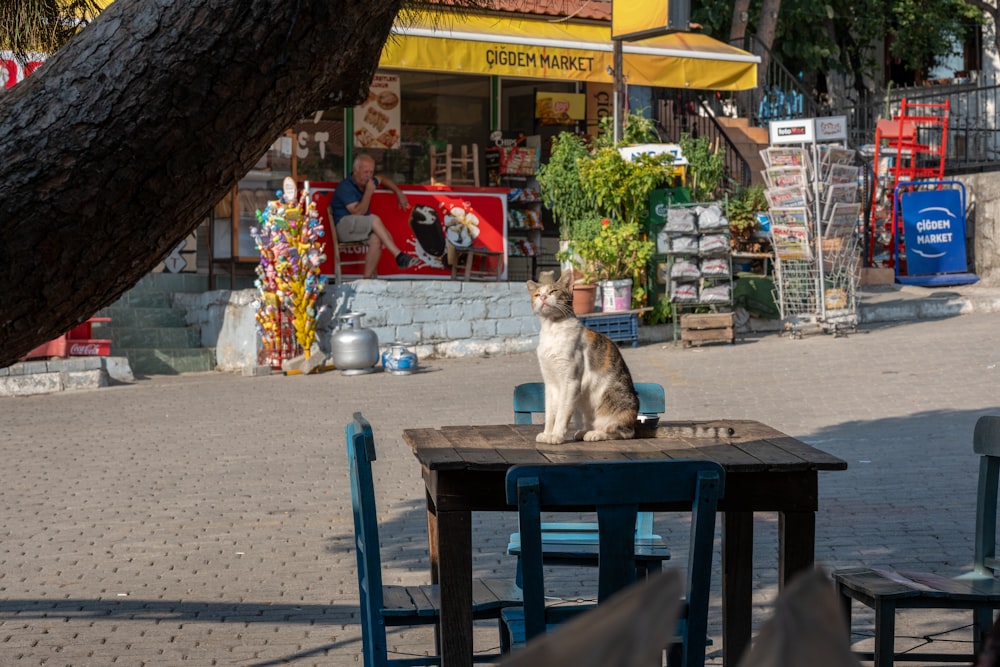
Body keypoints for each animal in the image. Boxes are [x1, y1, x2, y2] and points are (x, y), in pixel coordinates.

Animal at [528, 272, 636, 444]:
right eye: (537, 294)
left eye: (553, 291)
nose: (543, 297)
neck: (552, 330)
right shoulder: (550, 383)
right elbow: (550, 413)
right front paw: (547, 434)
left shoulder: (570, 382)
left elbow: (561, 412)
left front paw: (556, 435)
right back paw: (583, 431)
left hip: (613, 403)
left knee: (624, 432)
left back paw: (595, 434)